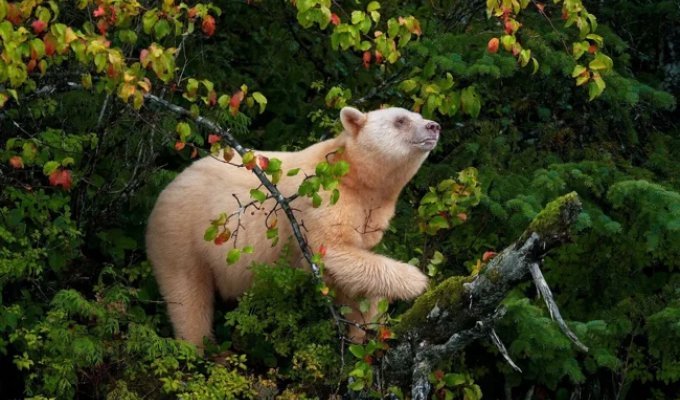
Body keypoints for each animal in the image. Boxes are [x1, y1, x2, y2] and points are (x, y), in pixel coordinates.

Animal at [145, 106, 438, 346]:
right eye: (401, 120)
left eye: (419, 115)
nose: (434, 126)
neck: (353, 175)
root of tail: (165, 190)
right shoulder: (322, 200)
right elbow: (333, 250)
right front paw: (417, 280)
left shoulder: (369, 213)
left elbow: (354, 277)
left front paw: (364, 328)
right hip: (182, 235)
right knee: (188, 298)